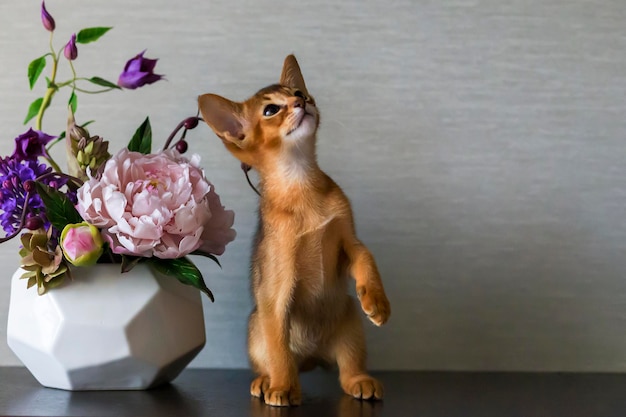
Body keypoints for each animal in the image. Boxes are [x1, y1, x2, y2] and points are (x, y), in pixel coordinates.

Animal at [197, 53, 388, 404]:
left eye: (299, 92)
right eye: (271, 110)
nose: (302, 101)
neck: (301, 185)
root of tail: (312, 358)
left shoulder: (348, 242)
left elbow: (367, 260)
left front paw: (378, 301)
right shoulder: (277, 286)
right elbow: (280, 352)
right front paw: (284, 388)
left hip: (351, 325)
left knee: (348, 369)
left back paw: (361, 381)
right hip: (257, 327)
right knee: (271, 360)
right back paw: (266, 382)